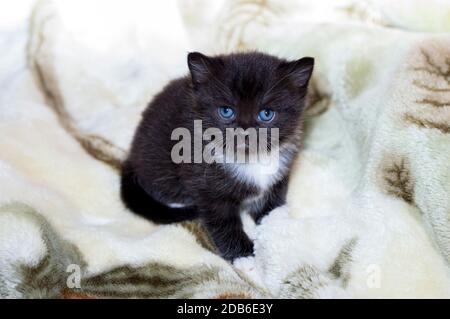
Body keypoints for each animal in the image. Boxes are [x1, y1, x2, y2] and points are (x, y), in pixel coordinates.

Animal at [121, 51, 314, 262]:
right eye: (226, 111)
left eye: (266, 114)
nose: (244, 130)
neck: (249, 158)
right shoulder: (206, 186)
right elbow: (223, 222)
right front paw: (245, 256)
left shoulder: (280, 174)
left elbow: (271, 209)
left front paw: (276, 230)